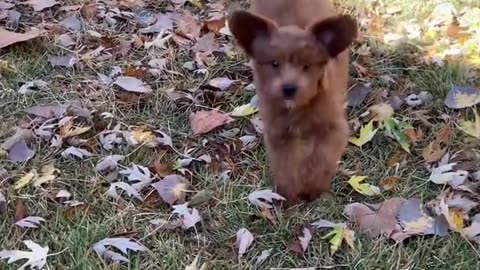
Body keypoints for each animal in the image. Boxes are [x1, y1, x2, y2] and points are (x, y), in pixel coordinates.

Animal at [229, 0, 356, 206]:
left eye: (307, 66)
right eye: (274, 63)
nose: (289, 88)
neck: (298, 108)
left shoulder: (334, 129)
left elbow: (321, 160)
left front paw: (313, 189)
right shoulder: (278, 133)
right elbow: (285, 167)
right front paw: (287, 198)